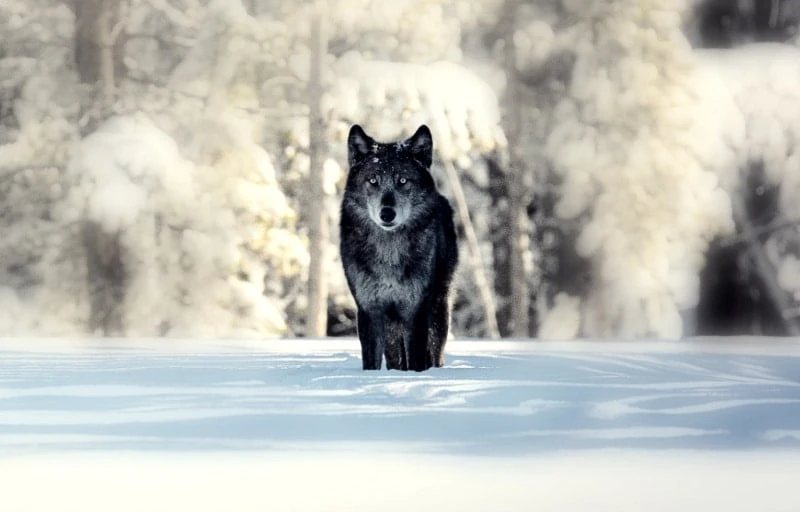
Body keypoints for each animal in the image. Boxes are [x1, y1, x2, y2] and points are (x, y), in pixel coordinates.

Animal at [340, 124, 459, 372]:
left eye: (403, 180)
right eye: (373, 180)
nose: (387, 213)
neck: (389, 252)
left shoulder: (415, 310)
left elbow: (416, 359)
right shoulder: (370, 310)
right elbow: (371, 362)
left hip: (438, 310)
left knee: (435, 353)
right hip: (392, 325)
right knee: (395, 357)